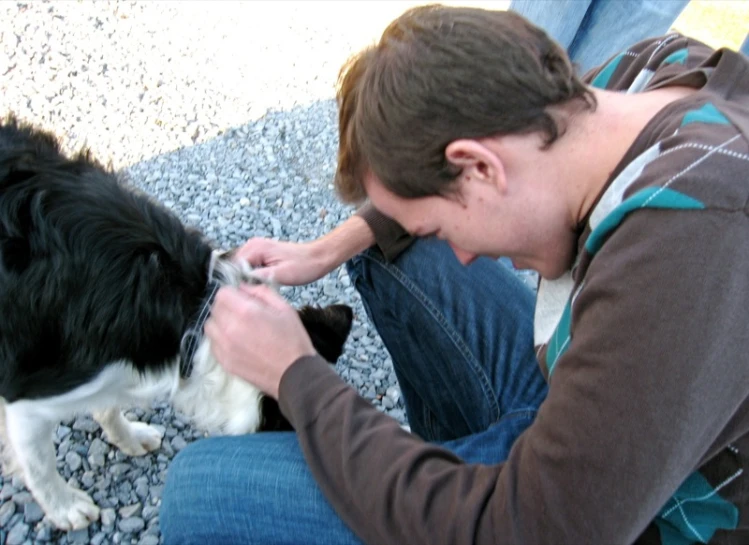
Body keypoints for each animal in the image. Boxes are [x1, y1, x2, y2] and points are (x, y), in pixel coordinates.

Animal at [0, 113, 354, 528]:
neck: (198, 310)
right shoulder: (28, 394)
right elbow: (38, 463)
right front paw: (64, 507)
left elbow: (107, 405)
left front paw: (129, 436)